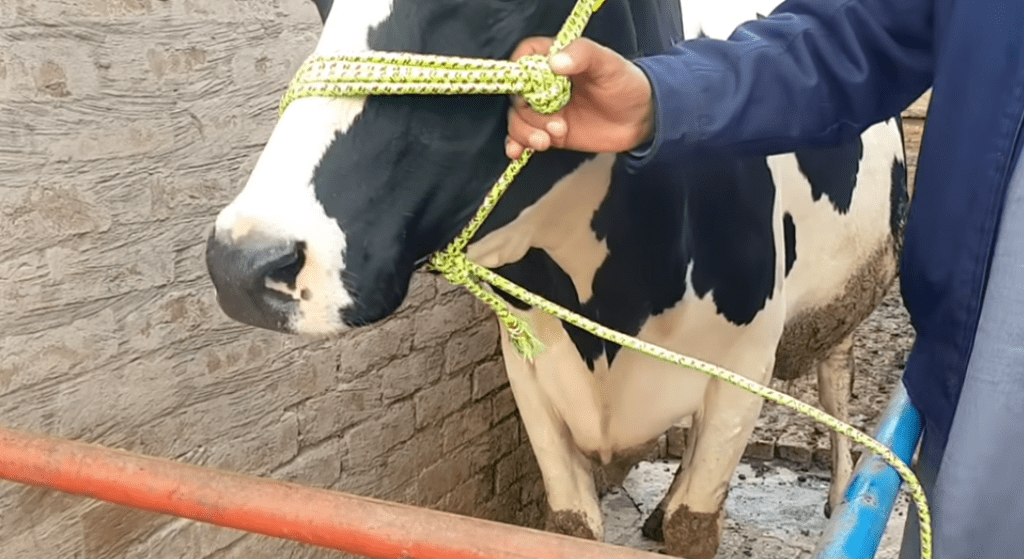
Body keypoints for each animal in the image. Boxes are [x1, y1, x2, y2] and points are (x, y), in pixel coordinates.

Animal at [205, 0, 910, 557]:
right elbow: (570, 526)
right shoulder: (532, 371)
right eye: (323, 1)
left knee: (837, 377)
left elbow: (694, 522)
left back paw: (841, 497)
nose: (243, 263)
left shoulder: (744, 365)